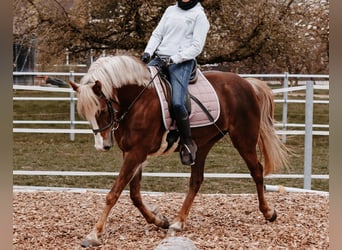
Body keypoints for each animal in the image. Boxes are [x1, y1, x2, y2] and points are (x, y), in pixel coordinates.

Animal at [69, 55, 288, 247]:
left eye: (101, 111)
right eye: (86, 114)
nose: (102, 146)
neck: (138, 100)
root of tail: (246, 83)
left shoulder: (136, 153)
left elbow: (114, 194)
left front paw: (94, 234)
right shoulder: (132, 153)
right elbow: (134, 194)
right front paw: (160, 220)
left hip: (244, 139)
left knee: (257, 171)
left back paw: (268, 212)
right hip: (202, 145)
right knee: (196, 181)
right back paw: (178, 222)